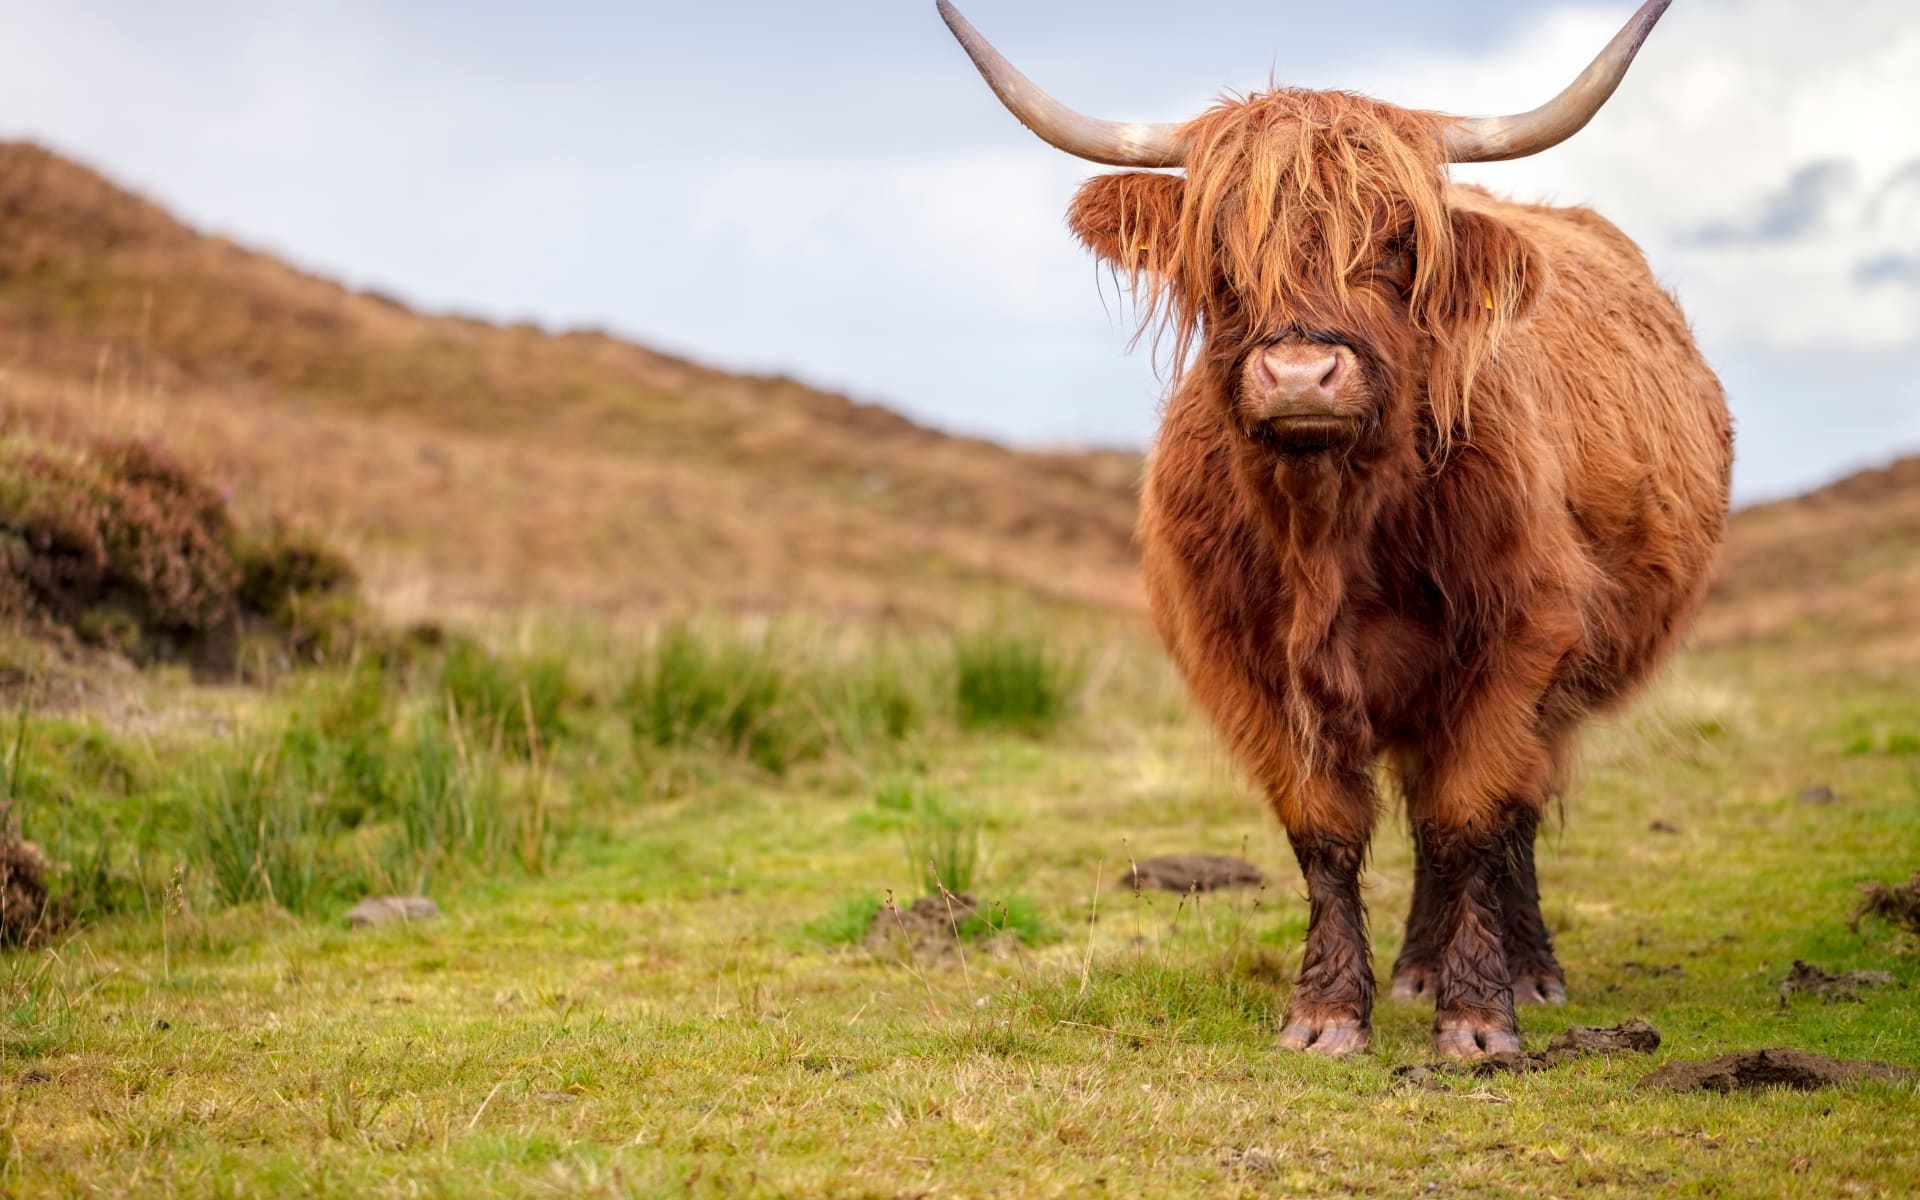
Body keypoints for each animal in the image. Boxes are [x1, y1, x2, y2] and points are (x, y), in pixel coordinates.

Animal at [936, 2, 1735, 1059]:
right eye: (1221, 248)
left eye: (1397, 242)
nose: (1302, 376)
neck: (1331, 530)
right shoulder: (1250, 667)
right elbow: (1325, 830)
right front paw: (1325, 1013)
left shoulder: (1519, 641)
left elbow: (1472, 816)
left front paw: (1478, 1020)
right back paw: (1415, 968)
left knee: (1505, 815)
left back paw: (1524, 969)